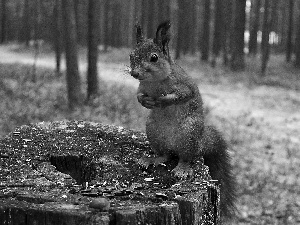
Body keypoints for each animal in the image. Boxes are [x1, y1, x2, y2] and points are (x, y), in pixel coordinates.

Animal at [129, 21, 237, 220]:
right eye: (131, 55)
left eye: (154, 57)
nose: (134, 73)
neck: (156, 81)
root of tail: (201, 143)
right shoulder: (142, 87)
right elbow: (139, 96)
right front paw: (146, 102)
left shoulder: (184, 85)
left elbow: (184, 95)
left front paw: (163, 101)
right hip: (153, 132)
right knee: (166, 155)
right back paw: (152, 159)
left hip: (189, 134)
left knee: (186, 157)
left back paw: (183, 169)